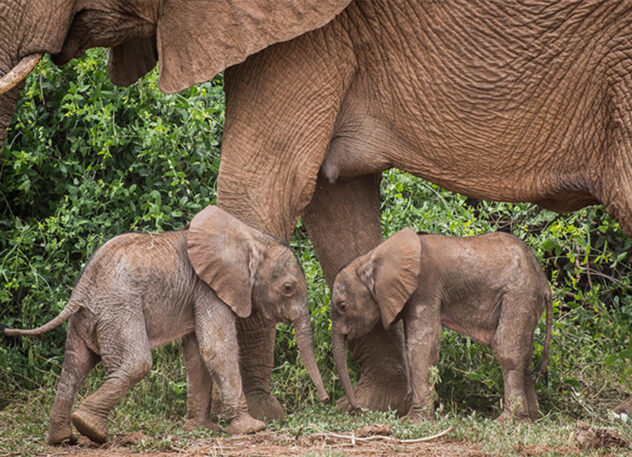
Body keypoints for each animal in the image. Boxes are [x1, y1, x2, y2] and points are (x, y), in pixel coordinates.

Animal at [4, 205, 328, 444]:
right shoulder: (208, 289)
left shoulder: (198, 292)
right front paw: (251, 428)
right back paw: (91, 429)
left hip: (89, 316)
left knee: (74, 366)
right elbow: (216, 349)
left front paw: (202, 429)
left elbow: (197, 355)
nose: (325, 399)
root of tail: (81, 289)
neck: (248, 237)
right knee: (136, 363)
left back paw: (63, 438)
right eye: (288, 288)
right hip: (118, 309)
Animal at [334, 227, 552, 420]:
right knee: (526, 355)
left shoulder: (424, 287)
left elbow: (421, 346)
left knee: (506, 350)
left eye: (342, 306)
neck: (372, 257)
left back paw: (508, 421)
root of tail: (545, 282)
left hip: (519, 293)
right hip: (528, 300)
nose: (356, 409)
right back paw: (531, 419)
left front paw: (413, 421)